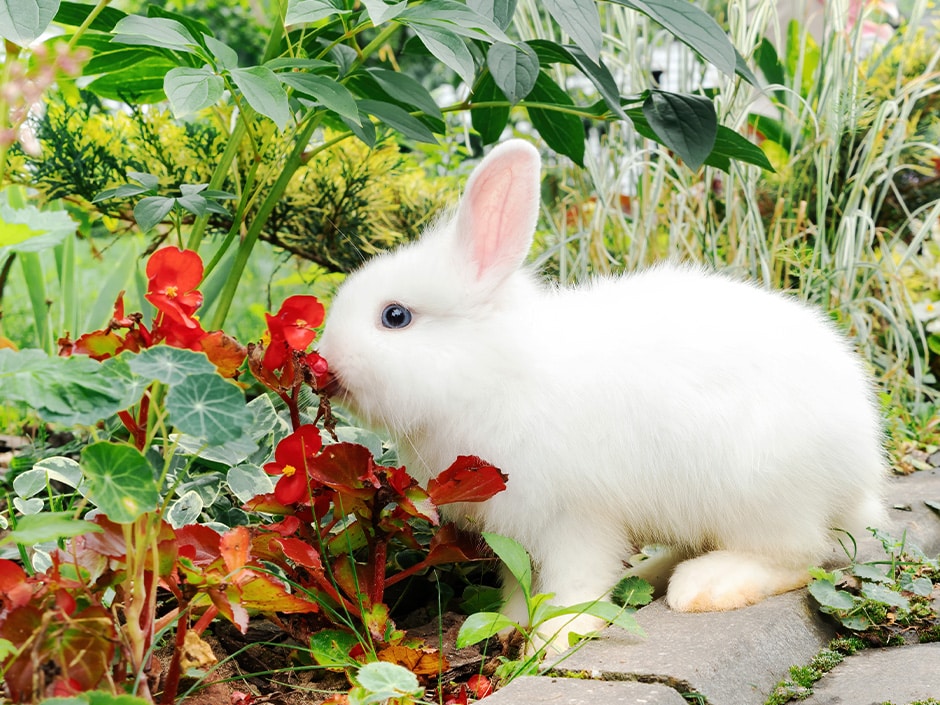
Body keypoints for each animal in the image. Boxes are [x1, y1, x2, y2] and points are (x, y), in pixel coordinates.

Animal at [318, 140, 888, 652]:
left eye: (395, 316)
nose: (325, 362)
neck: (492, 370)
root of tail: (858, 469)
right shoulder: (515, 531)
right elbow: (519, 582)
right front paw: (507, 626)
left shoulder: (575, 516)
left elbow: (572, 579)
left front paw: (555, 638)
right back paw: (655, 571)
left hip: (759, 493)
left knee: (799, 556)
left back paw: (706, 585)